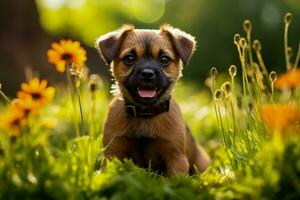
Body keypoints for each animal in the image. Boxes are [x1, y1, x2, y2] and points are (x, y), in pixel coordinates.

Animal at [96, 24, 211, 176]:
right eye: (129, 58)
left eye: (164, 59)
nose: (147, 74)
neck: (145, 114)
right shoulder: (112, 152)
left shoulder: (176, 157)